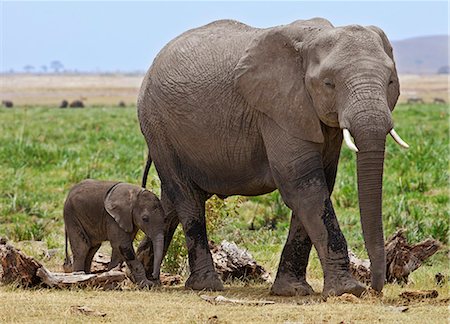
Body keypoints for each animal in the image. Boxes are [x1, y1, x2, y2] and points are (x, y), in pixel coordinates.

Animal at [136, 18, 408, 296]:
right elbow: (303, 185)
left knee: (170, 201)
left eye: (390, 82)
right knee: (188, 200)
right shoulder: (277, 111)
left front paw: (292, 290)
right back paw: (206, 285)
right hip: (157, 125)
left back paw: (144, 277)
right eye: (329, 83)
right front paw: (348, 290)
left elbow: (320, 185)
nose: (376, 287)